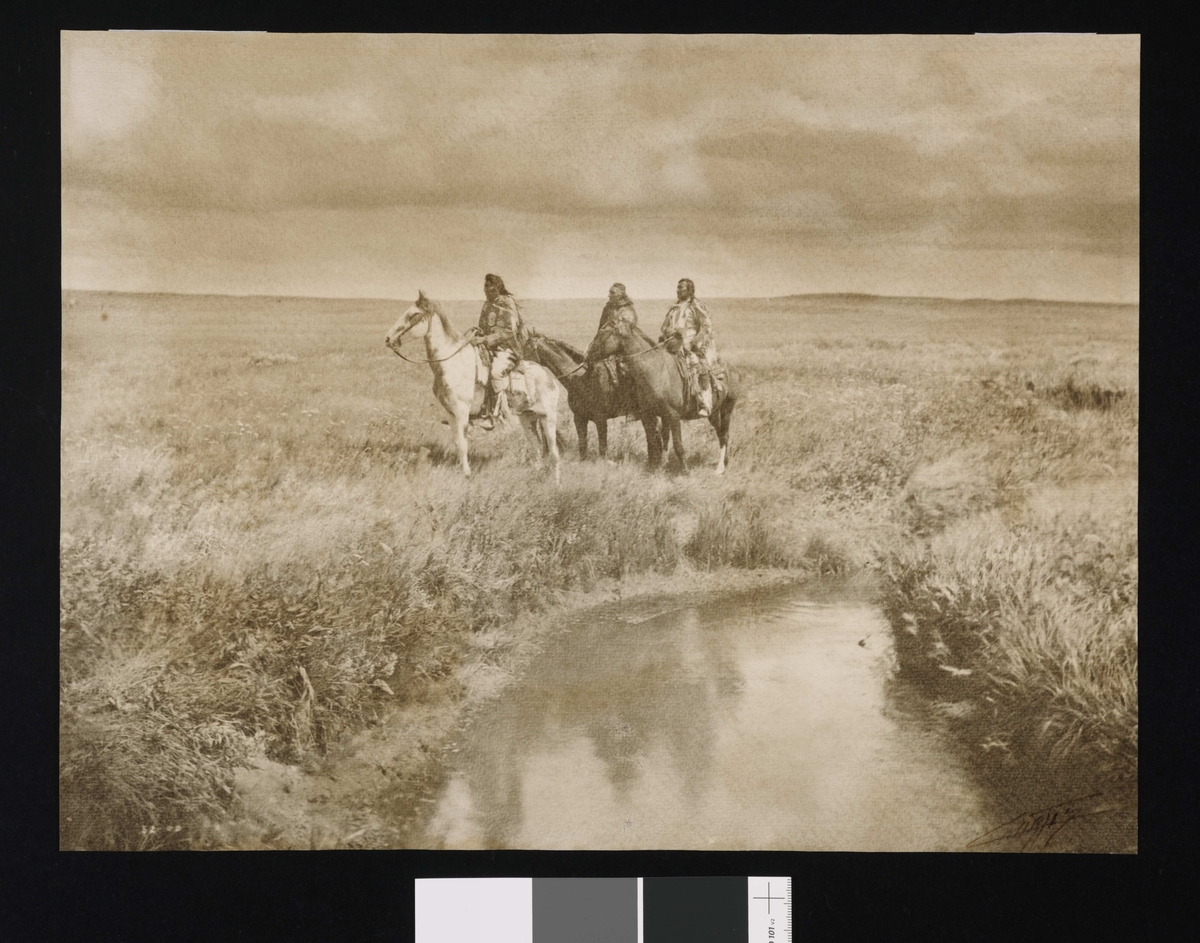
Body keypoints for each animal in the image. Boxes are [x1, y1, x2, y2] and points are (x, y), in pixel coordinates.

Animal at [384, 287, 561, 482]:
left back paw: (556, 483)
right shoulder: (450, 413)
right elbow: (457, 442)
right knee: (537, 447)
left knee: (554, 452)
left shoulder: (462, 411)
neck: (453, 363)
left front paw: (466, 474)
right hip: (528, 418)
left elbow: (463, 443)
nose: (388, 338)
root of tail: (550, 377)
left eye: (413, 315)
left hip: (548, 417)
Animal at [520, 328, 662, 460]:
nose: (516, 365)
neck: (581, 379)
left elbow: (602, 448)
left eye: (526, 347)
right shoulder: (579, 418)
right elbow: (583, 446)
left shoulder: (600, 419)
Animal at [585, 319, 734, 475]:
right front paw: (655, 468)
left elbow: (677, 444)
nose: (586, 355)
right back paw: (725, 463)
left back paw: (720, 468)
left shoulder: (673, 415)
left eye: (602, 333)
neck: (656, 370)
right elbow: (655, 440)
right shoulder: (648, 414)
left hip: (727, 408)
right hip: (714, 412)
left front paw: (685, 471)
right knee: (721, 433)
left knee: (724, 435)